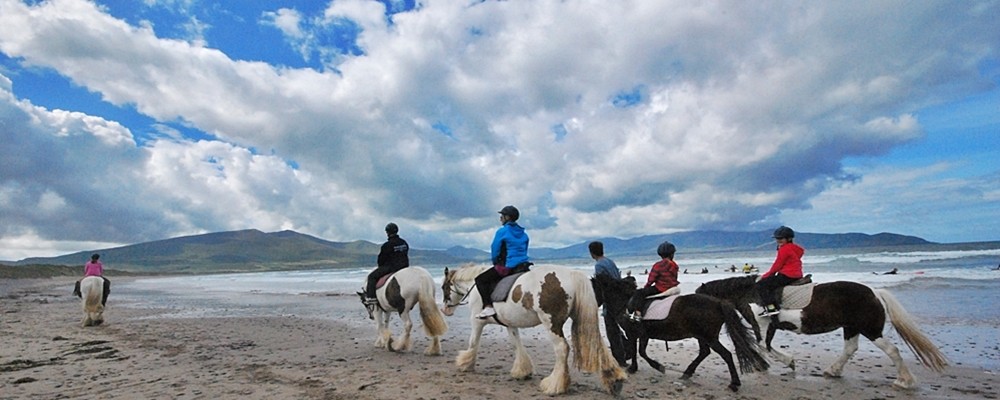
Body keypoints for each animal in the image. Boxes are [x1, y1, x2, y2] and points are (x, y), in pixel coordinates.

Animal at [440, 262, 624, 396]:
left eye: (443, 287)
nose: (445, 310)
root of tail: (573, 275)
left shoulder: (476, 321)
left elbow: (473, 342)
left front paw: (465, 363)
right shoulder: (510, 324)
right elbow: (516, 344)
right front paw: (523, 370)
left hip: (551, 323)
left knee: (562, 349)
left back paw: (555, 385)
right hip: (583, 319)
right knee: (597, 346)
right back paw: (615, 381)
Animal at [588, 276, 768, 390]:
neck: (626, 303)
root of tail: (718, 302)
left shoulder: (635, 334)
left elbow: (637, 351)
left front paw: (647, 367)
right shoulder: (643, 335)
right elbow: (640, 351)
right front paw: (648, 366)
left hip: (709, 337)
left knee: (726, 355)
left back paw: (734, 383)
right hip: (701, 336)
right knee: (704, 352)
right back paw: (687, 373)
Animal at [696, 274, 944, 390]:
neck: (749, 294)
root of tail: (874, 292)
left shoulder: (764, 325)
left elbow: (764, 346)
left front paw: (787, 361)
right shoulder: (768, 327)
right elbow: (764, 346)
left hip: (869, 329)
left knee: (891, 350)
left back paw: (904, 381)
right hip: (851, 327)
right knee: (850, 348)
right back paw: (833, 371)